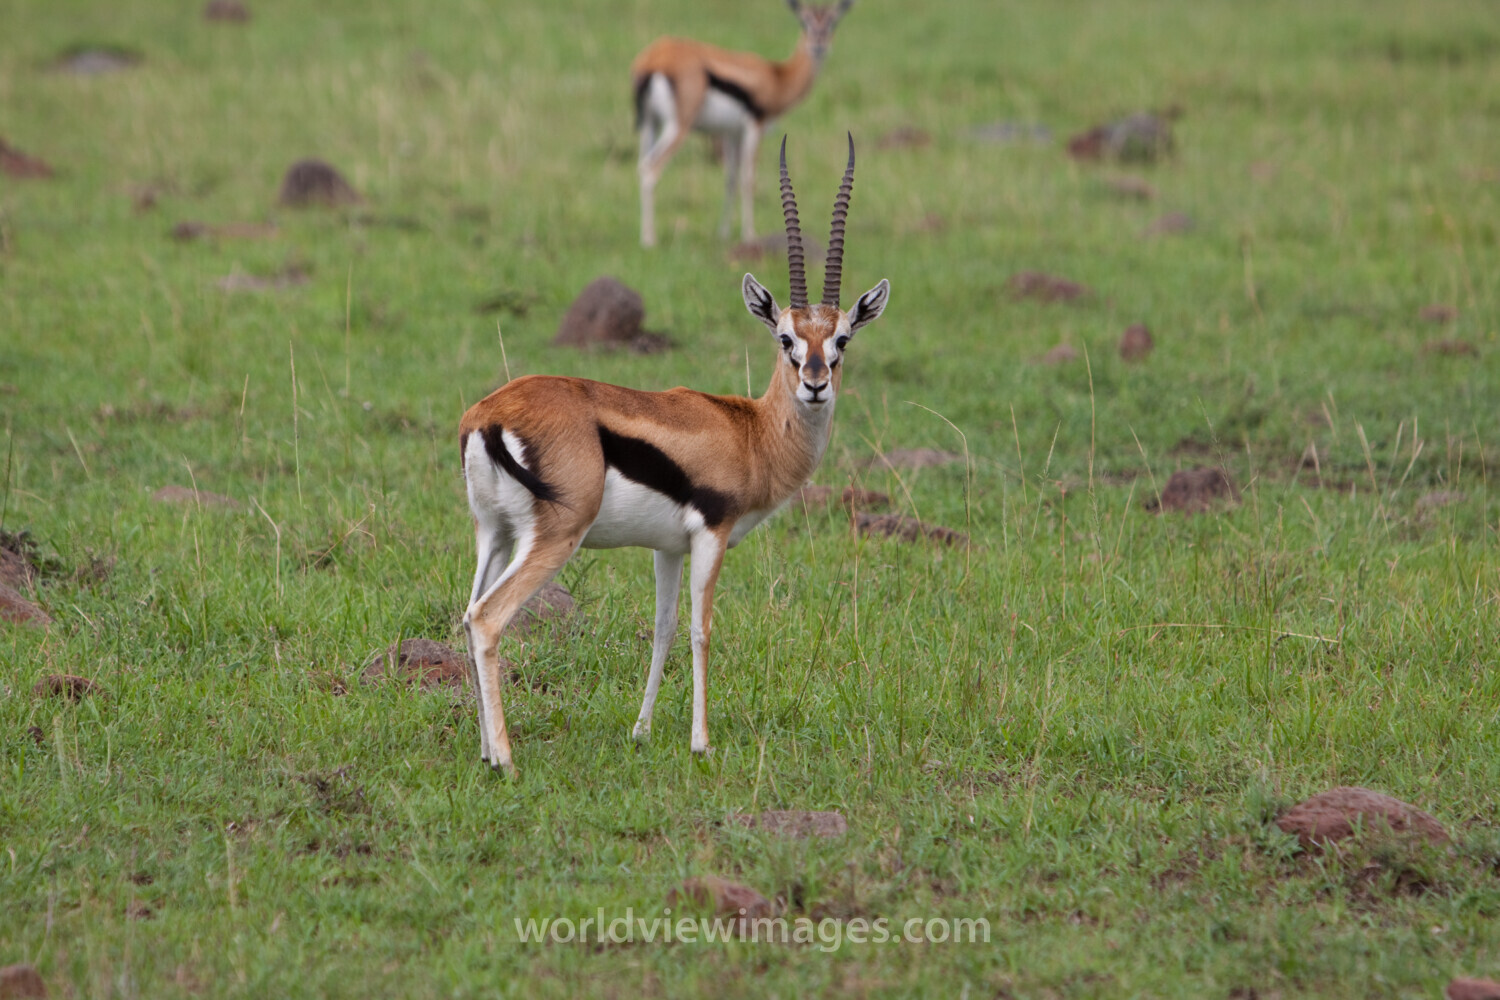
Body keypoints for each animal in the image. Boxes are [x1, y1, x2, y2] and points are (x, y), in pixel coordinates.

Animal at [459, 137, 889, 772]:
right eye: (785, 336)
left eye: (842, 339)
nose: (815, 384)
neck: (751, 432)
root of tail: (489, 414)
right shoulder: (712, 533)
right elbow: (700, 629)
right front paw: (700, 742)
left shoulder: (667, 548)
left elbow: (663, 628)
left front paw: (641, 731)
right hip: (554, 536)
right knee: (489, 618)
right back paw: (508, 762)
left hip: (495, 533)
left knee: (467, 613)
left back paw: (488, 752)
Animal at [632, 0, 854, 248]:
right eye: (804, 22)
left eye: (832, 22)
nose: (818, 45)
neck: (776, 78)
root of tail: (653, 60)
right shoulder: (754, 127)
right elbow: (748, 179)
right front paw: (749, 234)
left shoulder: (731, 133)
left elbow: (730, 179)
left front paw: (723, 233)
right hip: (678, 128)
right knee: (651, 168)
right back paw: (649, 240)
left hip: (649, 125)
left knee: (641, 165)